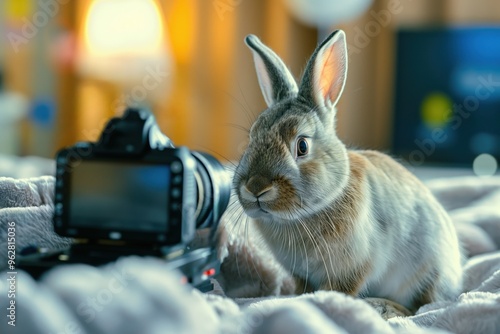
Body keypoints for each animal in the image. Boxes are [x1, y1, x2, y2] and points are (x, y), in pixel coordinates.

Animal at [232, 30, 462, 312]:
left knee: (423, 304)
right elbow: (301, 288)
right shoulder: (300, 273)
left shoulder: (354, 266)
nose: (256, 187)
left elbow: (339, 290)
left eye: (302, 146)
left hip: (429, 271)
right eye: (251, 138)